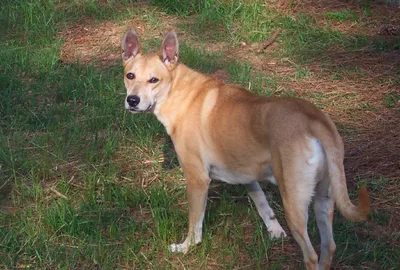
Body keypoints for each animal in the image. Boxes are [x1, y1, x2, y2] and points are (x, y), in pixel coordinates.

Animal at [120, 29, 370, 270]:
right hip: (323, 200)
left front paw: (186, 247)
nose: (132, 100)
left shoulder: (197, 179)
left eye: (154, 80)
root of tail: (314, 119)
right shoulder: (245, 173)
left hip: (294, 204)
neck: (179, 91)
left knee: (311, 256)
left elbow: (195, 224)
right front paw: (274, 231)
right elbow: (262, 203)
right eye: (130, 75)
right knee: (329, 247)